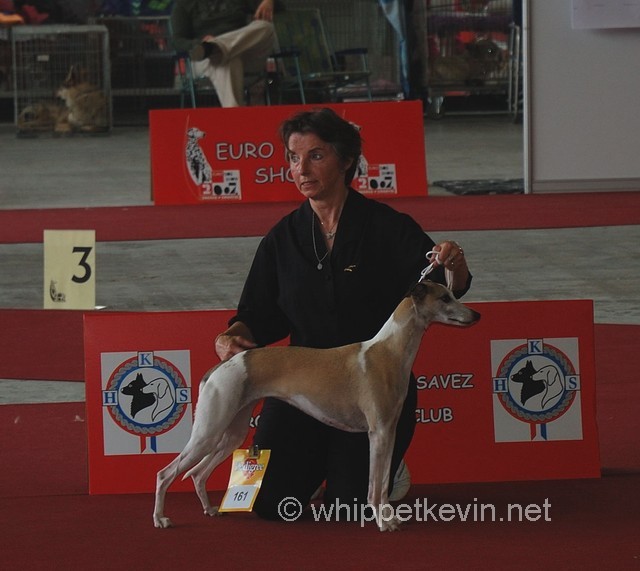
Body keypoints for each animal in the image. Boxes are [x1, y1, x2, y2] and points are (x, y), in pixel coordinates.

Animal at [151, 280, 480, 536]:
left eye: (452, 293)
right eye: (445, 297)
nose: (476, 314)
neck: (388, 351)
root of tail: (220, 367)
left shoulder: (390, 431)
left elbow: (384, 480)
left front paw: (389, 518)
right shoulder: (379, 432)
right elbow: (375, 485)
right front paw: (382, 522)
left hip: (232, 432)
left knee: (197, 474)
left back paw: (210, 510)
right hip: (209, 430)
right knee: (166, 474)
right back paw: (161, 518)